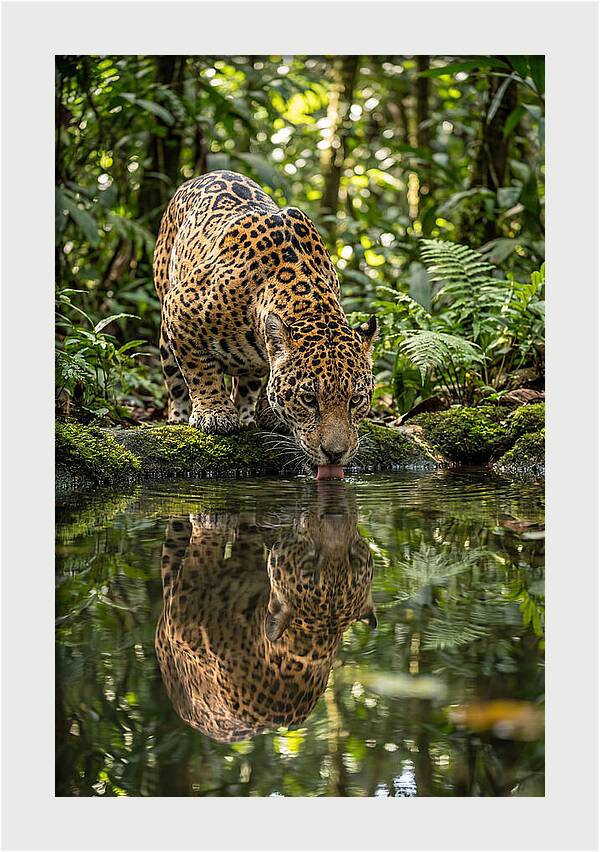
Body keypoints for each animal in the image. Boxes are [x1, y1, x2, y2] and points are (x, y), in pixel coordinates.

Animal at [153, 170, 377, 471]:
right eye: (309, 400)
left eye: (356, 400)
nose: (335, 454)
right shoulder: (179, 307)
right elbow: (199, 370)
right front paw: (214, 413)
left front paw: (269, 414)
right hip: (165, 321)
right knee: (175, 380)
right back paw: (179, 416)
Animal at [154, 487, 376, 742]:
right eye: (311, 562)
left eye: (354, 558)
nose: (335, 514)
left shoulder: (182, 613)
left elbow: (205, 549)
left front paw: (211, 520)